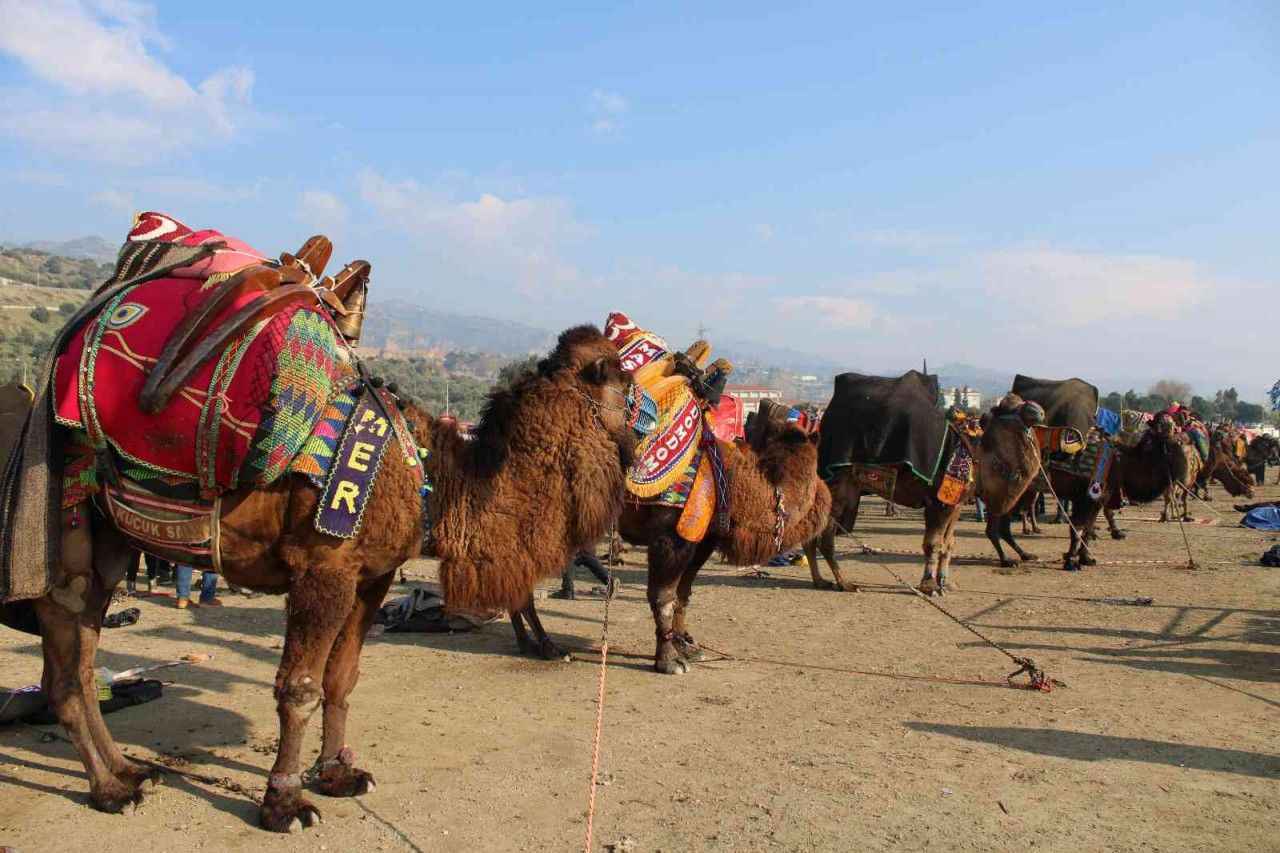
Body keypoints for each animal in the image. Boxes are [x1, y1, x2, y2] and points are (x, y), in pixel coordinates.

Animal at [0, 322, 640, 824]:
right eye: (627, 383)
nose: (641, 437)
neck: (432, 477)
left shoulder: (371, 576)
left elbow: (342, 679)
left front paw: (336, 773)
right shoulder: (322, 569)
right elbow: (299, 687)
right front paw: (283, 803)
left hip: (108, 549)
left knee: (82, 670)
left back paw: (130, 773)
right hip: (58, 546)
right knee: (64, 676)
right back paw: (109, 790)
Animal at [616, 399, 829, 671]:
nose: (759, 406)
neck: (731, 479)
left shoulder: (703, 540)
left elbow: (683, 592)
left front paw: (687, 647)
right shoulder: (670, 536)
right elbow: (663, 597)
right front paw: (669, 660)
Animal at [808, 394, 1049, 594]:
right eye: (1010, 406)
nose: (1038, 410)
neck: (980, 456)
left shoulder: (955, 504)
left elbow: (948, 543)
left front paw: (945, 582)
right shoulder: (938, 502)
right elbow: (933, 543)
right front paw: (929, 585)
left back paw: (821, 581)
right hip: (837, 490)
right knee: (826, 538)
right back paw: (845, 583)